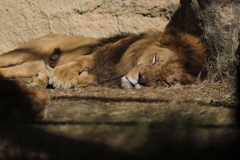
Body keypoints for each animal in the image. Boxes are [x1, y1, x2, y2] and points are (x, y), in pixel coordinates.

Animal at [0, 29, 206, 89]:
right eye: (155, 59)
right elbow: (78, 62)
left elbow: (83, 79)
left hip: (29, 63)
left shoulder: (100, 75)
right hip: (23, 52)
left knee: (12, 71)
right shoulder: (99, 55)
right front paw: (58, 77)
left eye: (165, 79)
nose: (142, 79)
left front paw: (43, 78)